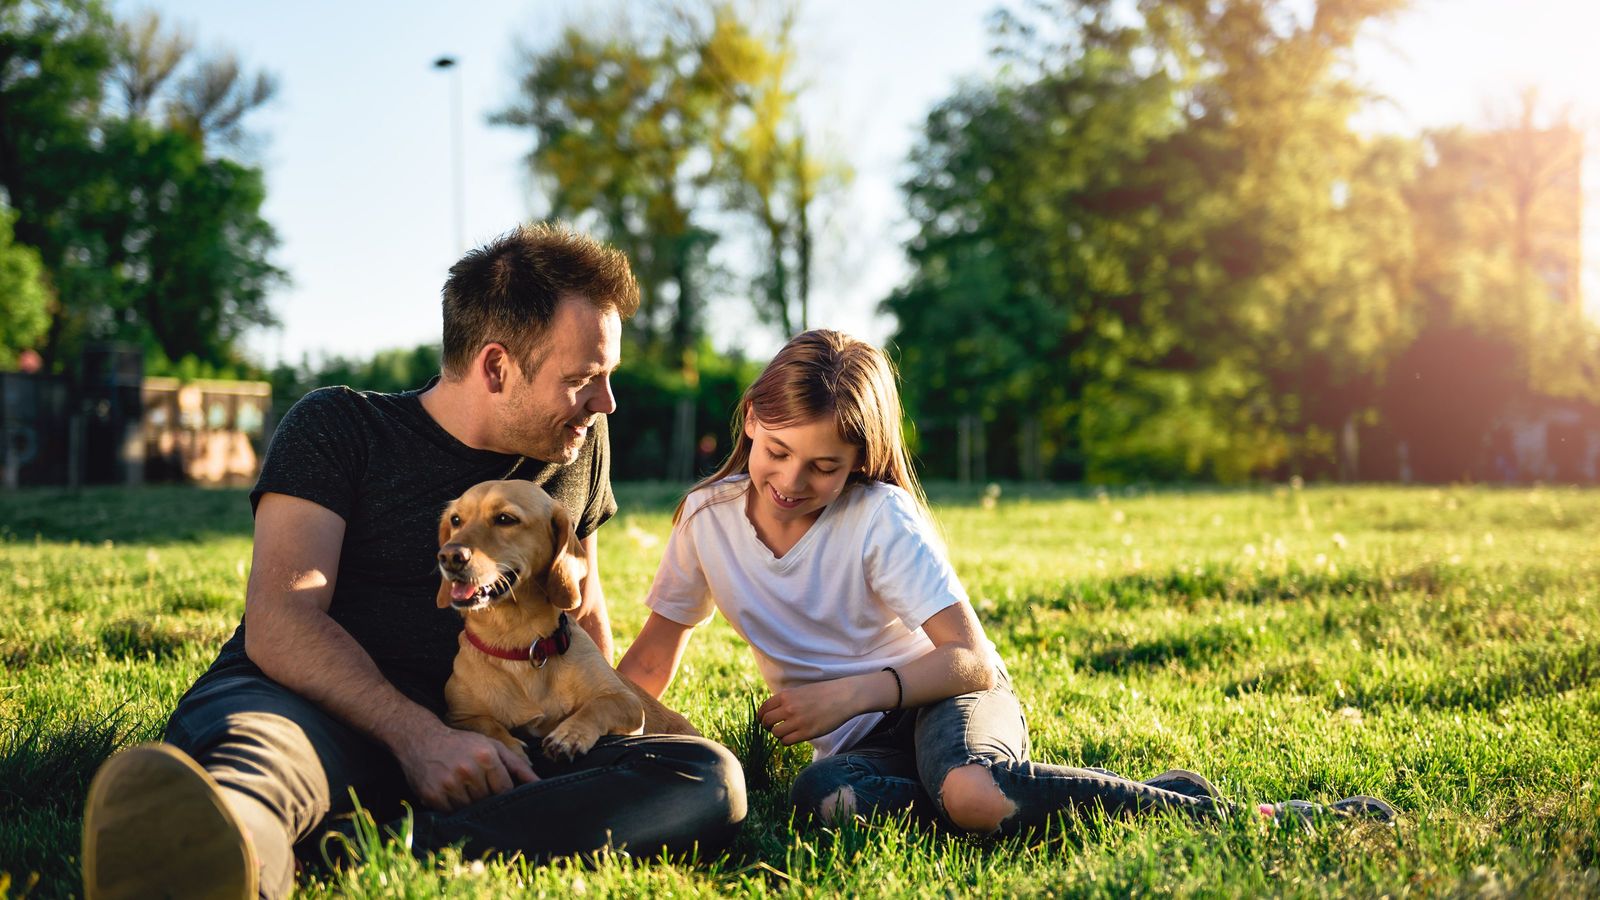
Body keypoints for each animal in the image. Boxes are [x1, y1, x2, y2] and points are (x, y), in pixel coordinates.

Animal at [435, 477, 697, 755]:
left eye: (505, 519)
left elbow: (597, 706)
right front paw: (509, 746)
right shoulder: (459, 717)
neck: (519, 644)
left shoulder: (627, 701)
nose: (449, 556)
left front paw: (570, 735)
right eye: (455, 520)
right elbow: (487, 726)